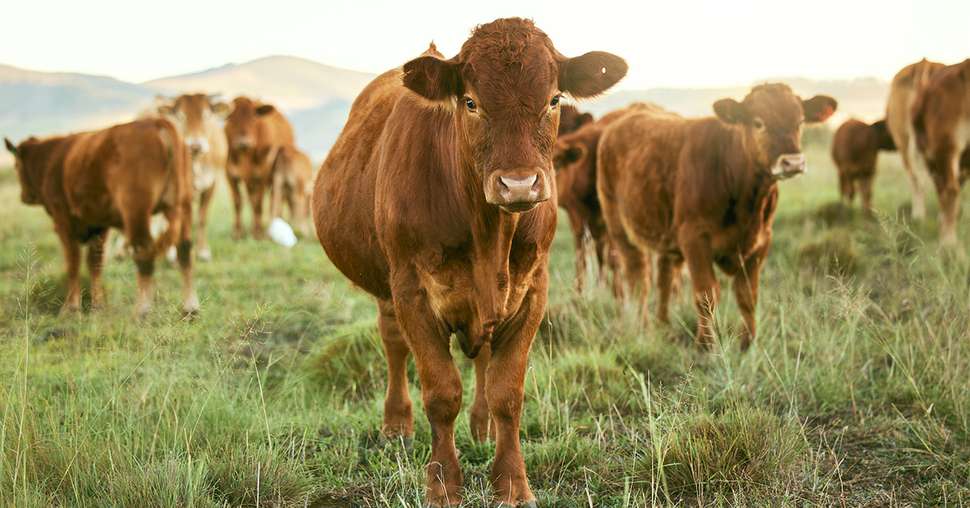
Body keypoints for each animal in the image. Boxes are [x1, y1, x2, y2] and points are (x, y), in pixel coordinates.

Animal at [4, 119, 199, 318]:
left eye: (16, 166)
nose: (24, 196)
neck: (51, 159)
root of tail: (155, 122)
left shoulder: (63, 221)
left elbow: (73, 262)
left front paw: (70, 307)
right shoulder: (99, 224)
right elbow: (94, 263)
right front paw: (98, 306)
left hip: (136, 212)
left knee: (144, 252)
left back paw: (142, 311)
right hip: (184, 206)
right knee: (184, 249)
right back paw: (190, 309)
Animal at [223, 97, 294, 240]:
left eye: (254, 117)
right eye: (231, 117)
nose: (243, 141)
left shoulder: (262, 175)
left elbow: (258, 203)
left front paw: (257, 233)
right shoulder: (229, 175)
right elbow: (237, 202)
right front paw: (237, 233)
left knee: (273, 200)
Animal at [312, 17, 628, 506]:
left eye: (554, 99)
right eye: (471, 102)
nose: (519, 185)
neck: (488, 235)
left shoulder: (532, 291)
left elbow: (506, 392)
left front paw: (512, 482)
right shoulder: (412, 292)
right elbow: (441, 393)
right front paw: (443, 484)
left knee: (482, 358)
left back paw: (482, 429)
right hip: (386, 285)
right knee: (393, 343)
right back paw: (396, 425)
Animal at [592, 85, 836, 352]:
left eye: (800, 121)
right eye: (758, 122)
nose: (792, 162)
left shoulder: (761, 241)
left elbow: (747, 294)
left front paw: (747, 343)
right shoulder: (694, 238)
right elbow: (706, 294)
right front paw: (705, 345)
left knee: (664, 277)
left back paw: (663, 325)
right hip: (620, 228)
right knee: (638, 279)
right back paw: (643, 328)